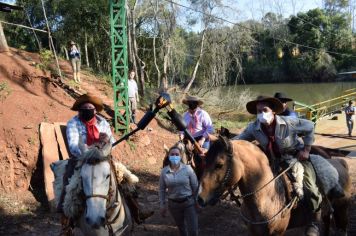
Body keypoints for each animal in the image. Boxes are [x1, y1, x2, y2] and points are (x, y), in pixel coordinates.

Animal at [197, 136, 350, 236]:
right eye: (204, 161)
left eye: (219, 164)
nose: (200, 198)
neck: (267, 196)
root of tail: (340, 162)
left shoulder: (277, 233)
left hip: (342, 208)